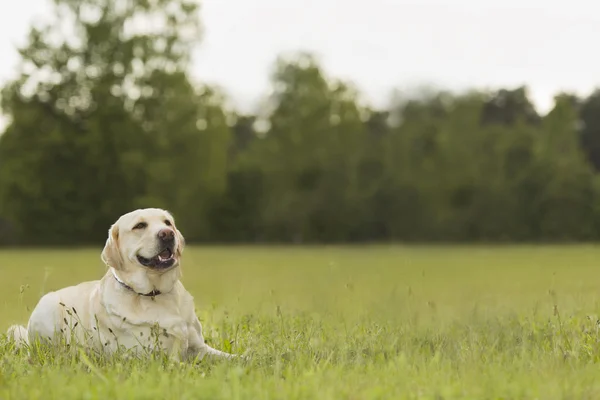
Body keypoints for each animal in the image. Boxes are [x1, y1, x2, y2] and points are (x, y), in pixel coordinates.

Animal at [7, 208, 237, 360]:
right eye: (140, 226)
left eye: (167, 222)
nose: (167, 234)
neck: (155, 294)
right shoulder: (151, 356)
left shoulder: (200, 348)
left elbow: (232, 358)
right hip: (48, 311)